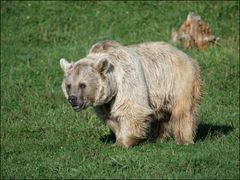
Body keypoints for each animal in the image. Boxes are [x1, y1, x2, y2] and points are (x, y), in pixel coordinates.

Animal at [60, 40, 202, 148]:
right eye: (69, 85)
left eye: (82, 84)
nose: (72, 99)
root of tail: (186, 56)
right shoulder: (106, 102)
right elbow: (110, 118)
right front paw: (118, 137)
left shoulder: (127, 80)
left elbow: (131, 109)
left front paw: (122, 142)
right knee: (162, 115)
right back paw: (158, 137)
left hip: (178, 81)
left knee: (183, 111)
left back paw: (183, 139)